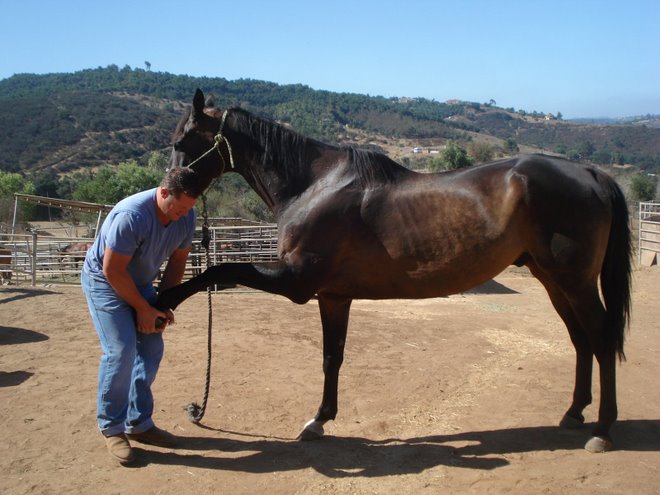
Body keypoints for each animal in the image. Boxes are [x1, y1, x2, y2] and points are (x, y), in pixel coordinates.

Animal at [156, 89, 636, 454]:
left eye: (183, 142)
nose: (168, 191)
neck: (313, 186)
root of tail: (590, 172)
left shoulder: (296, 281)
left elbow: (217, 270)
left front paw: (164, 298)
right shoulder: (333, 295)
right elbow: (332, 356)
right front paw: (320, 420)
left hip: (575, 283)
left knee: (602, 341)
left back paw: (603, 431)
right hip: (554, 281)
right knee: (581, 341)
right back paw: (573, 413)